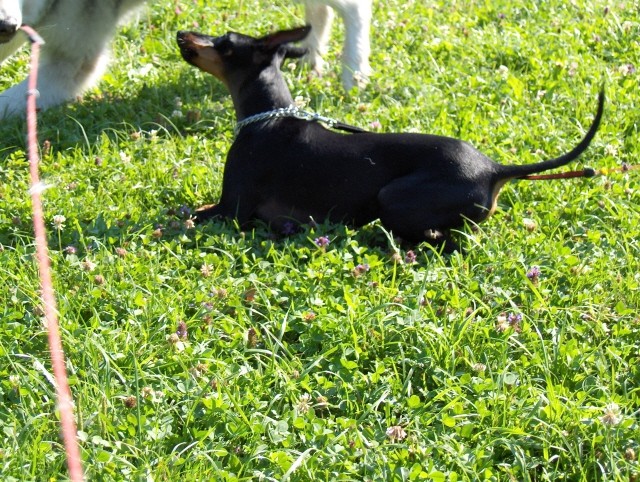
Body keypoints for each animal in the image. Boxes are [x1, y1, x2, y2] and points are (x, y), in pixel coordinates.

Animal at [176, 26, 604, 250]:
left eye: (225, 42)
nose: (182, 34)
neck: (266, 119)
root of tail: (495, 168)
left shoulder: (230, 210)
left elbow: (183, 215)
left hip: (392, 197)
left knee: (443, 240)